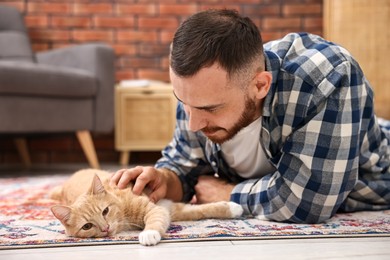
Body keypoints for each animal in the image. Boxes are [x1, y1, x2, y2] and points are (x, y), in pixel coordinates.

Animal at [50, 169, 242, 246]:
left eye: (105, 211)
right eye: (87, 226)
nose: (105, 228)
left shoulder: (161, 206)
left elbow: (203, 209)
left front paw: (234, 207)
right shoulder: (166, 209)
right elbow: (196, 211)